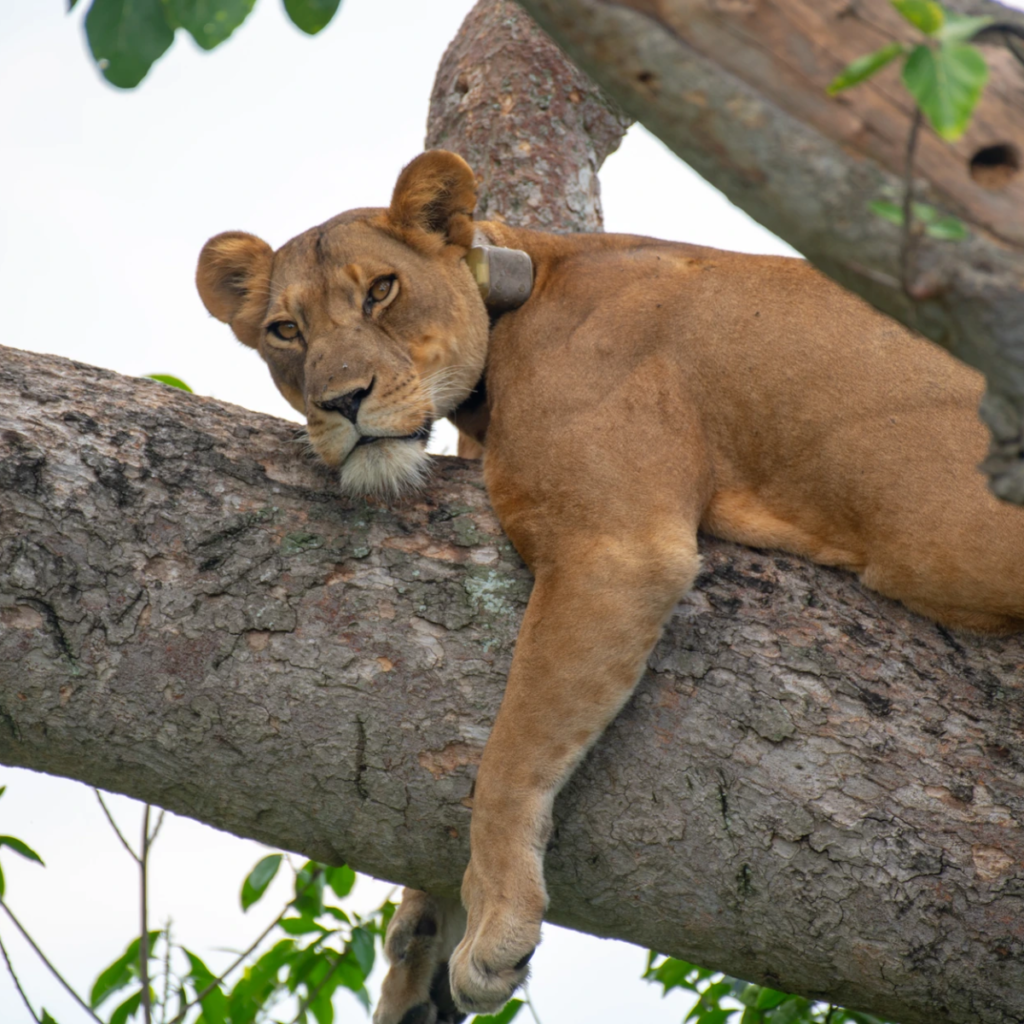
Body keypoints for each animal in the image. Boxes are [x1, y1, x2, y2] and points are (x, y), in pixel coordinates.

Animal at [197, 150, 1024, 1023]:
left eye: (381, 290)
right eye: (285, 331)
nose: (341, 402)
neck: (519, 286)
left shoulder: (616, 548)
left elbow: (510, 752)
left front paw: (494, 921)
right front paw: (415, 963)